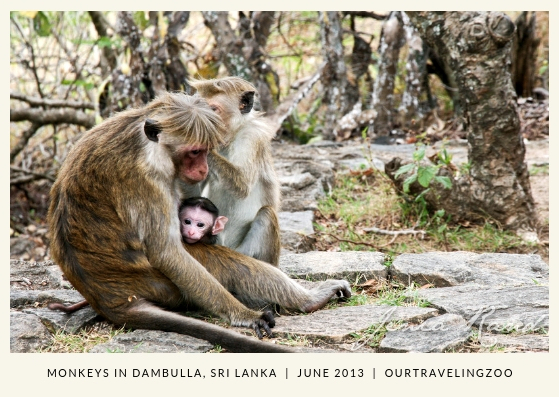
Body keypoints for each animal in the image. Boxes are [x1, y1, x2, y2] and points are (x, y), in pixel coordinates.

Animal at [189, 76, 284, 264]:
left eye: (213, 110)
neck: (230, 137)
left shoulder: (252, 137)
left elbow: (243, 184)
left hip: (245, 253)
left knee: (267, 214)